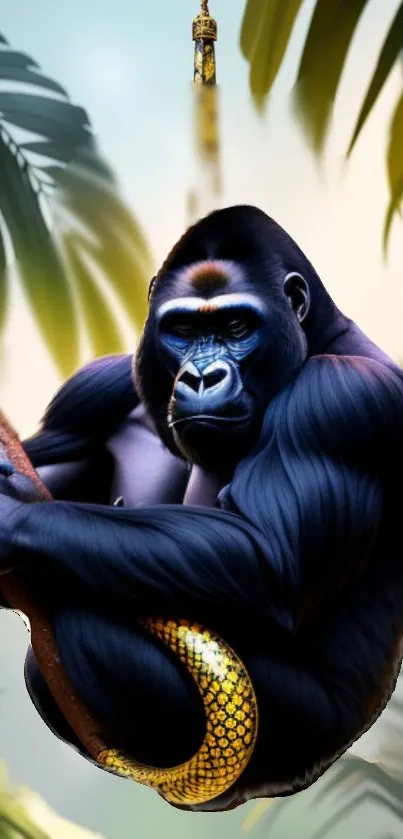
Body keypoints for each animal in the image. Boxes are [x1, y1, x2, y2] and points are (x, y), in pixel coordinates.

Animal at [0, 204, 402, 811]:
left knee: (82, 623)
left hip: (303, 735)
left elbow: (269, 561)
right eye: (184, 330)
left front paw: (11, 518)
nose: (201, 375)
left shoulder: (341, 397)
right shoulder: (92, 390)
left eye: (236, 327)